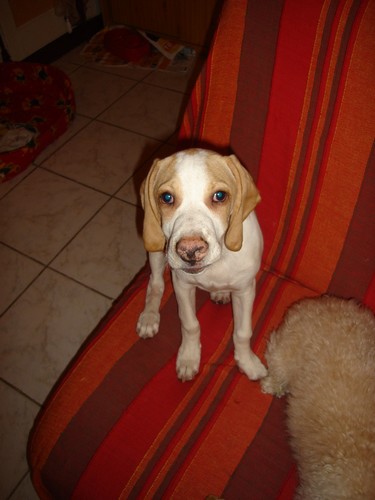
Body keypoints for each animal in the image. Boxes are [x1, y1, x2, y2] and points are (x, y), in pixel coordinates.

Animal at [138, 148, 268, 382]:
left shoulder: (245, 289)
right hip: (156, 249)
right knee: (155, 284)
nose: (190, 251)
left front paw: (247, 362)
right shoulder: (182, 285)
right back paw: (149, 317)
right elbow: (190, 325)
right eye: (167, 197)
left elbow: (243, 332)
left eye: (220, 196)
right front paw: (189, 358)